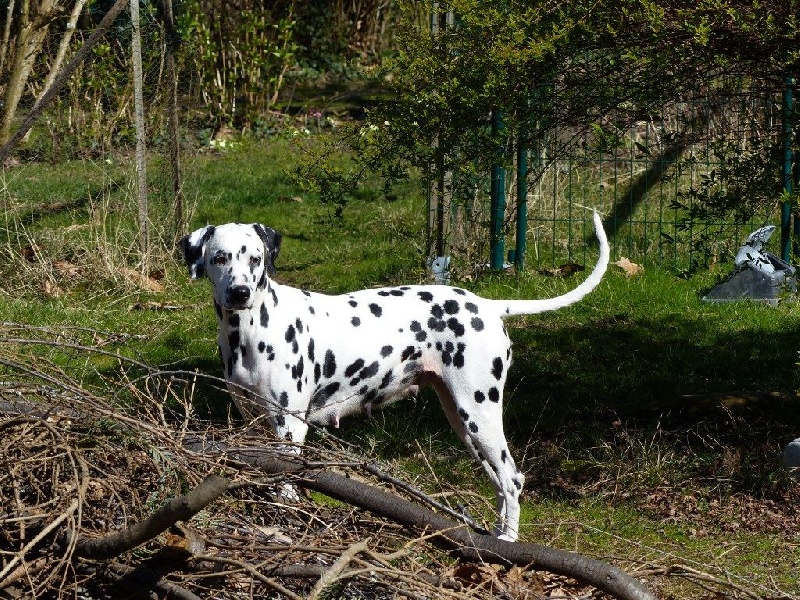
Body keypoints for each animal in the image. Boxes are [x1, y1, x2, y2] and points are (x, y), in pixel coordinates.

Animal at [180, 213, 608, 540]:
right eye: (220, 257)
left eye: (255, 258)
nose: (239, 292)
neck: (247, 330)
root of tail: (486, 305)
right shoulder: (253, 424)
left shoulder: (289, 426)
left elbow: (287, 483)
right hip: (464, 424)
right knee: (501, 483)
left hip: (479, 416)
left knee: (513, 479)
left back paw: (508, 541)